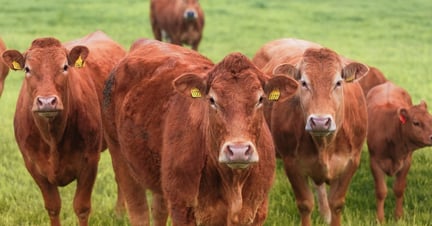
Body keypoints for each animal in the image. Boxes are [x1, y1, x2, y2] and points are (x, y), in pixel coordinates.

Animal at [1, 30, 125, 226]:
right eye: (27, 69)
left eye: (65, 66)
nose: (46, 102)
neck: (53, 138)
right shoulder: (33, 165)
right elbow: (53, 206)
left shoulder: (90, 162)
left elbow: (82, 208)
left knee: (120, 173)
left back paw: (120, 213)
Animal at [102, 38, 296, 226]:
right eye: (212, 100)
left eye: (260, 99)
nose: (238, 151)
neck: (233, 185)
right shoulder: (182, 207)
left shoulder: (258, 210)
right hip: (120, 157)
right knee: (138, 210)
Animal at [253, 39, 368, 225]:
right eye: (304, 83)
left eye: (338, 82)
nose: (320, 122)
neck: (325, 145)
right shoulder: (291, 163)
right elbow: (305, 204)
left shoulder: (352, 161)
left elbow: (336, 203)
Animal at [364, 81, 432, 222]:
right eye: (416, 123)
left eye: (431, 119)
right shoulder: (375, 163)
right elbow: (381, 191)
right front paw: (380, 219)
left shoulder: (406, 162)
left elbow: (399, 189)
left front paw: (399, 216)